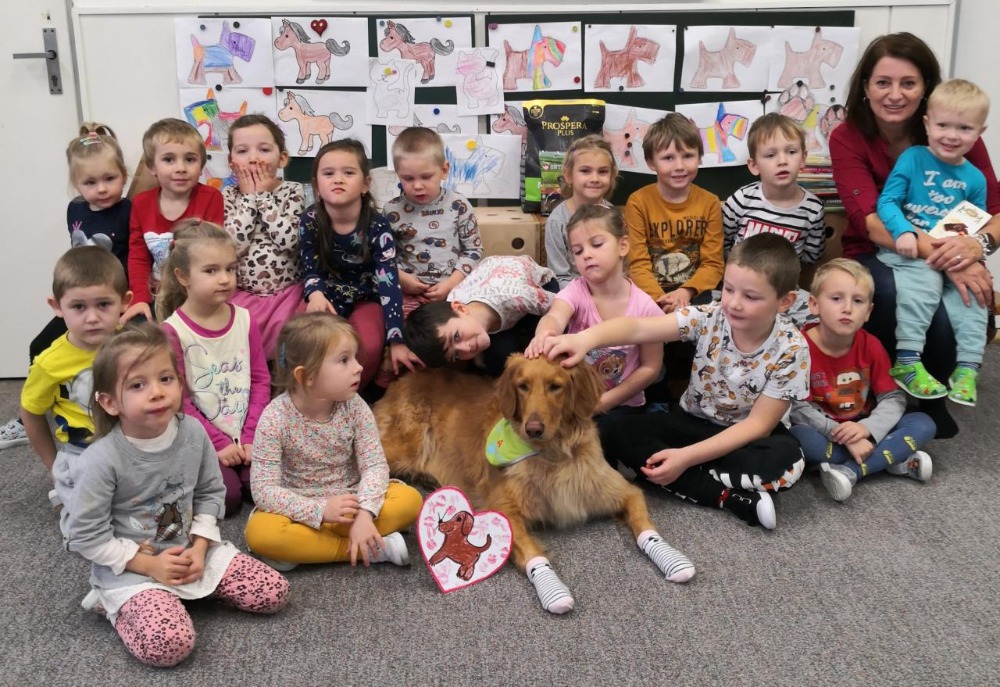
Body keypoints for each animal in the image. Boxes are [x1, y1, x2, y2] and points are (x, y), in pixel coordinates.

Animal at [374, 355, 694, 614]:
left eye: (555, 386)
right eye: (523, 386)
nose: (534, 428)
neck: (554, 456)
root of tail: (404, 378)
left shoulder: (620, 490)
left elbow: (643, 523)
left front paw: (671, 558)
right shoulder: (503, 508)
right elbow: (531, 551)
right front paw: (553, 592)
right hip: (405, 444)